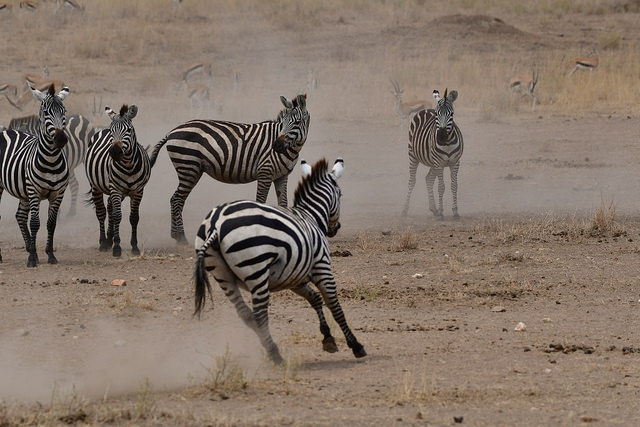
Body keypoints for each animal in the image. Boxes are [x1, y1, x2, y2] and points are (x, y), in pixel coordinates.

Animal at [0, 83, 70, 268]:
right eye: (46, 112)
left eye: (64, 111)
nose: (61, 139)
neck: (51, 160)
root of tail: (7, 131)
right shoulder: (34, 192)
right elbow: (35, 223)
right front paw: (31, 258)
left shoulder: (58, 194)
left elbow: (51, 224)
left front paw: (49, 255)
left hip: (23, 191)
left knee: (20, 216)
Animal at [84, 104, 151, 258]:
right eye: (111, 131)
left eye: (129, 130)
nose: (114, 152)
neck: (129, 166)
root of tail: (100, 130)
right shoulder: (116, 188)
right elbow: (117, 216)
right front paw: (117, 247)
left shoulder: (138, 191)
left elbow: (134, 217)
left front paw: (134, 247)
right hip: (96, 186)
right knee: (101, 212)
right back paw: (103, 243)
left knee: (109, 207)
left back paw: (109, 239)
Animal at [150, 93, 310, 247]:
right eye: (283, 123)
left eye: (296, 122)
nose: (276, 145)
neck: (291, 150)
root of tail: (172, 131)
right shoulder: (265, 172)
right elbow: (261, 202)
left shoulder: (281, 176)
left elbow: (283, 204)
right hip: (188, 166)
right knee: (177, 199)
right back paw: (181, 237)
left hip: (192, 169)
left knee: (176, 198)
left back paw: (176, 235)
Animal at [192, 157, 364, 364]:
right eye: (340, 194)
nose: (335, 228)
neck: (310, 215)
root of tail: (215, 224)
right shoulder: (322, 267)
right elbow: (334, 306)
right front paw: (355, 345)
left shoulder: (295, 277)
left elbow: (315, 299)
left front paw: (328, 338)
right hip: (256, 271)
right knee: (259, 315)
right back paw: (276, 355)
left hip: (222, 275)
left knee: (245, 314)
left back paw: (270, 350)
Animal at [402, 88, 462, 219]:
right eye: (437, 114)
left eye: (451, 114)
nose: (441, 136)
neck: (447, 142)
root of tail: (425, 110)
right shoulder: (439, 164)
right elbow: (441, 187)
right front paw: (441, 212)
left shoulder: (455, 163)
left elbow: (454, 186)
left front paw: (455, 212)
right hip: (413, 155)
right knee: (412, 181)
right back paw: (404, 210)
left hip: (432, 162)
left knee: (428, 179)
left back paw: (433, 209)